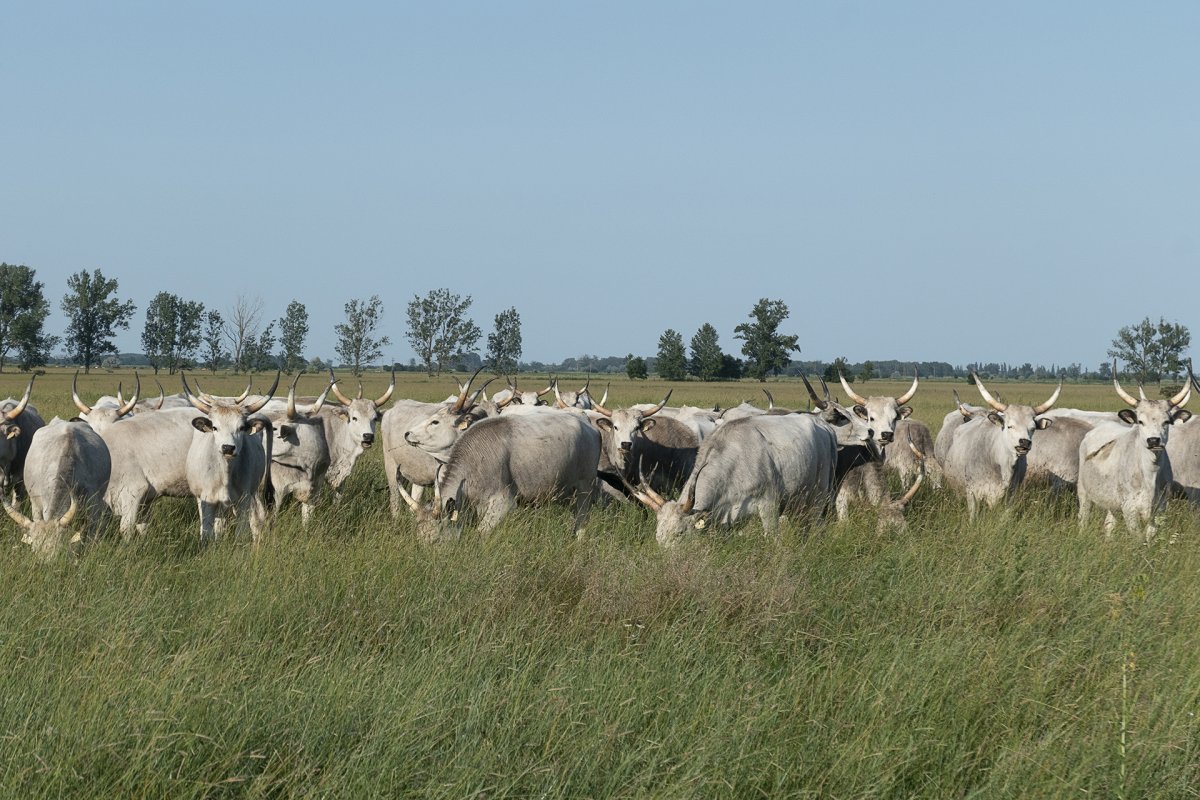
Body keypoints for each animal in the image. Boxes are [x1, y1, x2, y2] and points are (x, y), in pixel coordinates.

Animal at [393, 412, 600, 537]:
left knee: (582, 518)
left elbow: (481, 532)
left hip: (585, 487)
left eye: (436, 537)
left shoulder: (503, 504)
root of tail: (587, 423)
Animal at [628, 412, 835, 551]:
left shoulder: (769, 505)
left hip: (818, 495)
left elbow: (772, 538)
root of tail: (823, 425)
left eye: (679, 533)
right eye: (658, 536)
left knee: (814, 524)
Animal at [945, 374, 1060, 520]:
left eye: (1033, 428)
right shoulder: (972, 493)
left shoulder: (1010, 497)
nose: (1024, 442)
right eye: (1009, 426)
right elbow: (973, 516)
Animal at [1080, 367, 1190, 542]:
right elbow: (1139, 539)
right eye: (1140, 421)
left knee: (1109, 525)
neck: (1150, 474)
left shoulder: (1160, 510)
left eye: (1166, 421)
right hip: (1083, 492)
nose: (1153, 440)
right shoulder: (1130, 509)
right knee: (1083, 518)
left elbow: (1150, 538)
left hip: (1113, 503)